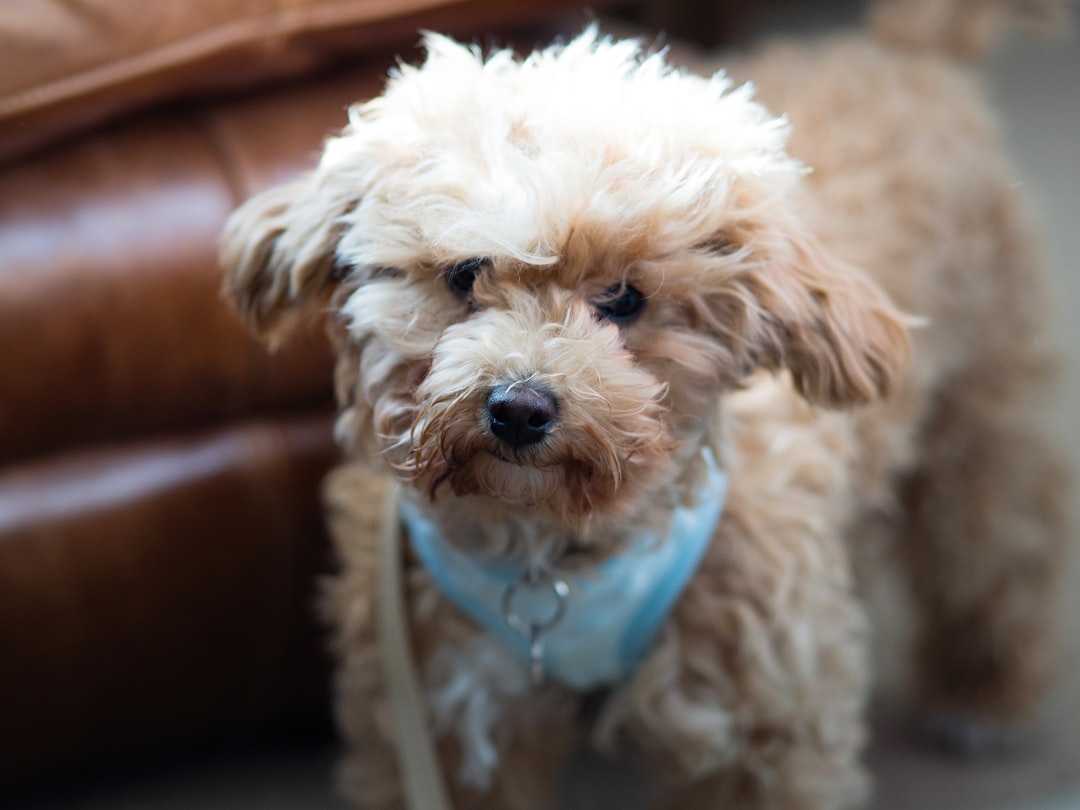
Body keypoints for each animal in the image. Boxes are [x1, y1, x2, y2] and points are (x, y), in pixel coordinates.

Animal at [223, 3, 1067, 807]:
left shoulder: (762, 724)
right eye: (464, 274)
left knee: (1000, 549)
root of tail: (897, 50)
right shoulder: (454, 715)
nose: (519, 408)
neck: (554, 558)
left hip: (983, 413)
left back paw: (985, 696)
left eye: (625, 299)